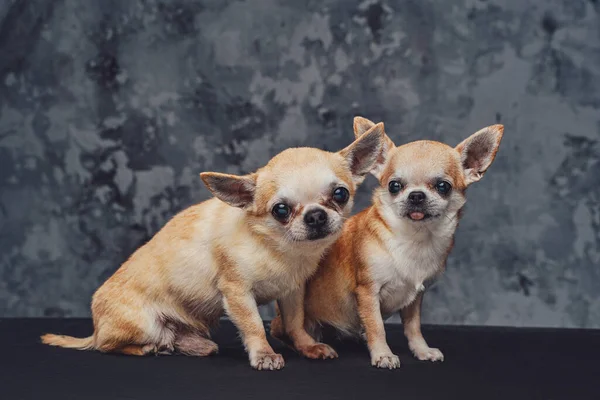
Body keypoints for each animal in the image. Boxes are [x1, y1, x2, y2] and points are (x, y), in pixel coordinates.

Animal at [41, 123, 384, 370]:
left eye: (340, 194)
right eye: (280, 210)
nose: (315, 215)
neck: (277, 248)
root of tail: (96, 327)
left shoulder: (292, 291)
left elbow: (295, 323)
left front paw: (308, 346)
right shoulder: (237, 293)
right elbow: (254, 326)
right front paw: (264, 355)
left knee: (169, 338)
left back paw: (189, 345)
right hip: (141, 324)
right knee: (108, 346)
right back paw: (149, 347)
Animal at [274, 115, 504, 368]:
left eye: (443, 186)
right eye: (395, 186)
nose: (416, 195)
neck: (413, 239)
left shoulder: (416, 297)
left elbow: (413, 328)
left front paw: (422, 350)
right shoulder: (368, 292)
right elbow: (377, 327)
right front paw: (383, 354)